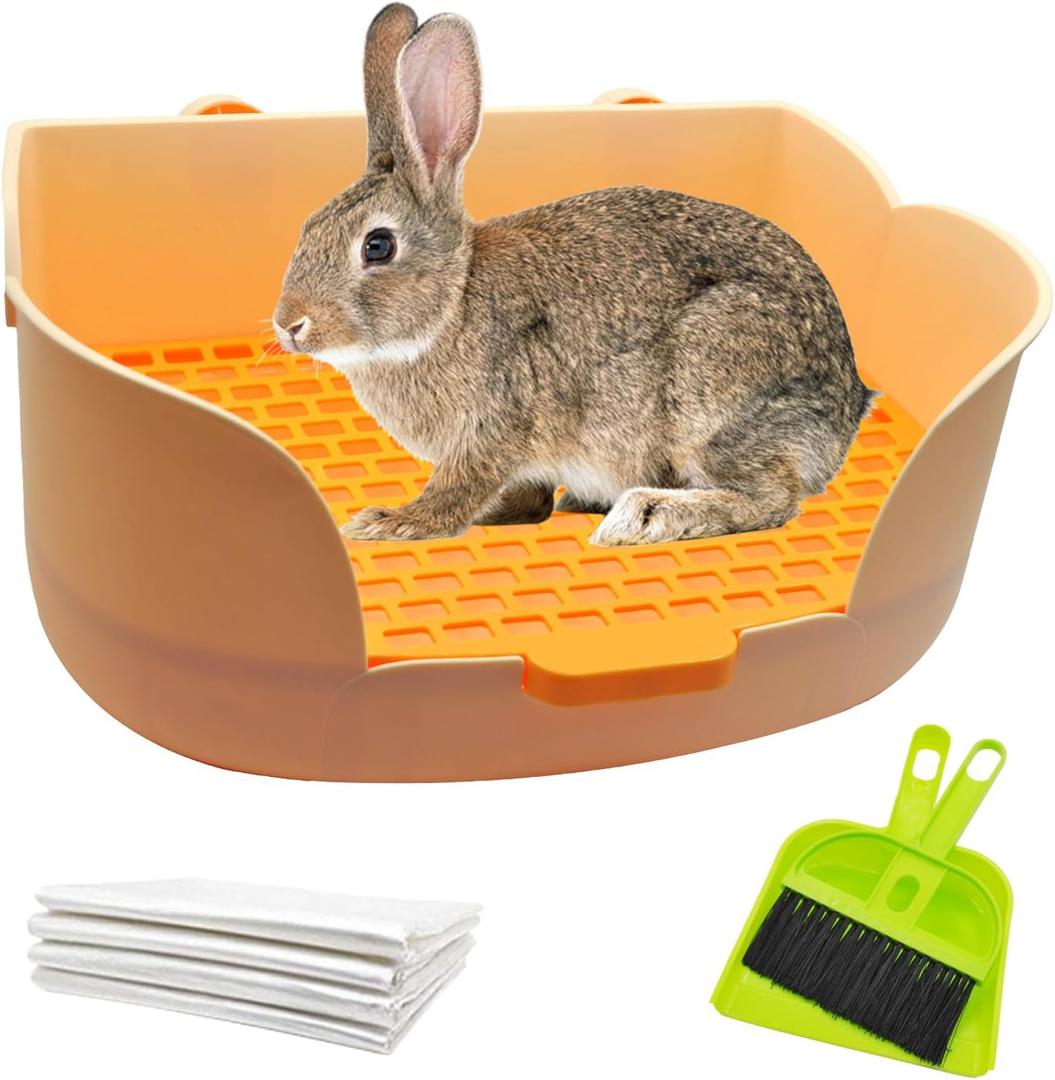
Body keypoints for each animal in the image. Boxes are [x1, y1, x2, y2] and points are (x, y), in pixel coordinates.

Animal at [273, 3, 875, 546]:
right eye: (308, 226)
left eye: (377, 246)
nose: (290, 324)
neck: (452, 304)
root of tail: (847, 409)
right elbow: (524, 496)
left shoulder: (494, 427)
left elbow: (457, 489)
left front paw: (390, 522)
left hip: (713, 388)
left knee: (770, 499)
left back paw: (645, 515)